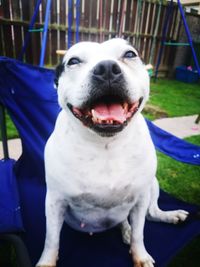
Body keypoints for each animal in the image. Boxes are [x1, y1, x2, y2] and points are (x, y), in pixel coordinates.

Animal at [36, 38, 189, 267]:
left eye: (130, 54)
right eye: (73, 61)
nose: (107, 68)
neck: (105, 145)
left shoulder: (141, 197)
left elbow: (140, 234)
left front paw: (140, 255)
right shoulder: (55, 201)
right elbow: (51, 239)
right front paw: (46, 261)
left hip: (152, 185)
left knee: (150, 214)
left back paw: (166, 217)